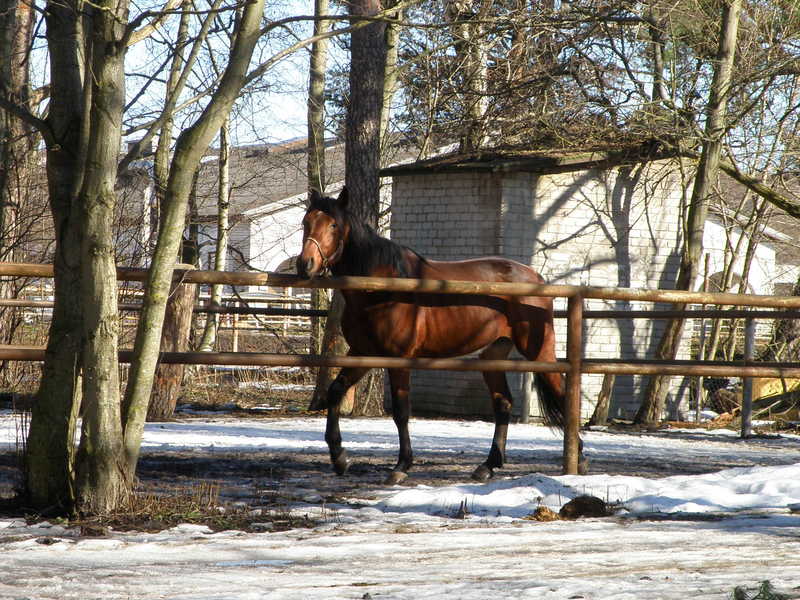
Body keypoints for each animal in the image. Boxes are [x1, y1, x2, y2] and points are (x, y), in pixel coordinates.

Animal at [294, 190, 580, 486]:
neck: (383, 287)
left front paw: (401, 466)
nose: (305, 264)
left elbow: (401, 411)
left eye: (333, 225)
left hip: (539, 352)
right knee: (503, 404)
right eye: (306, 222)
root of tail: (537, 278)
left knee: (563, 396)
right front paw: (339, 457)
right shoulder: (363, 352)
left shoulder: (399, 359)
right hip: (494, 354)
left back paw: (577, 461)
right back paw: (487, 466)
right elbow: (335, 391)